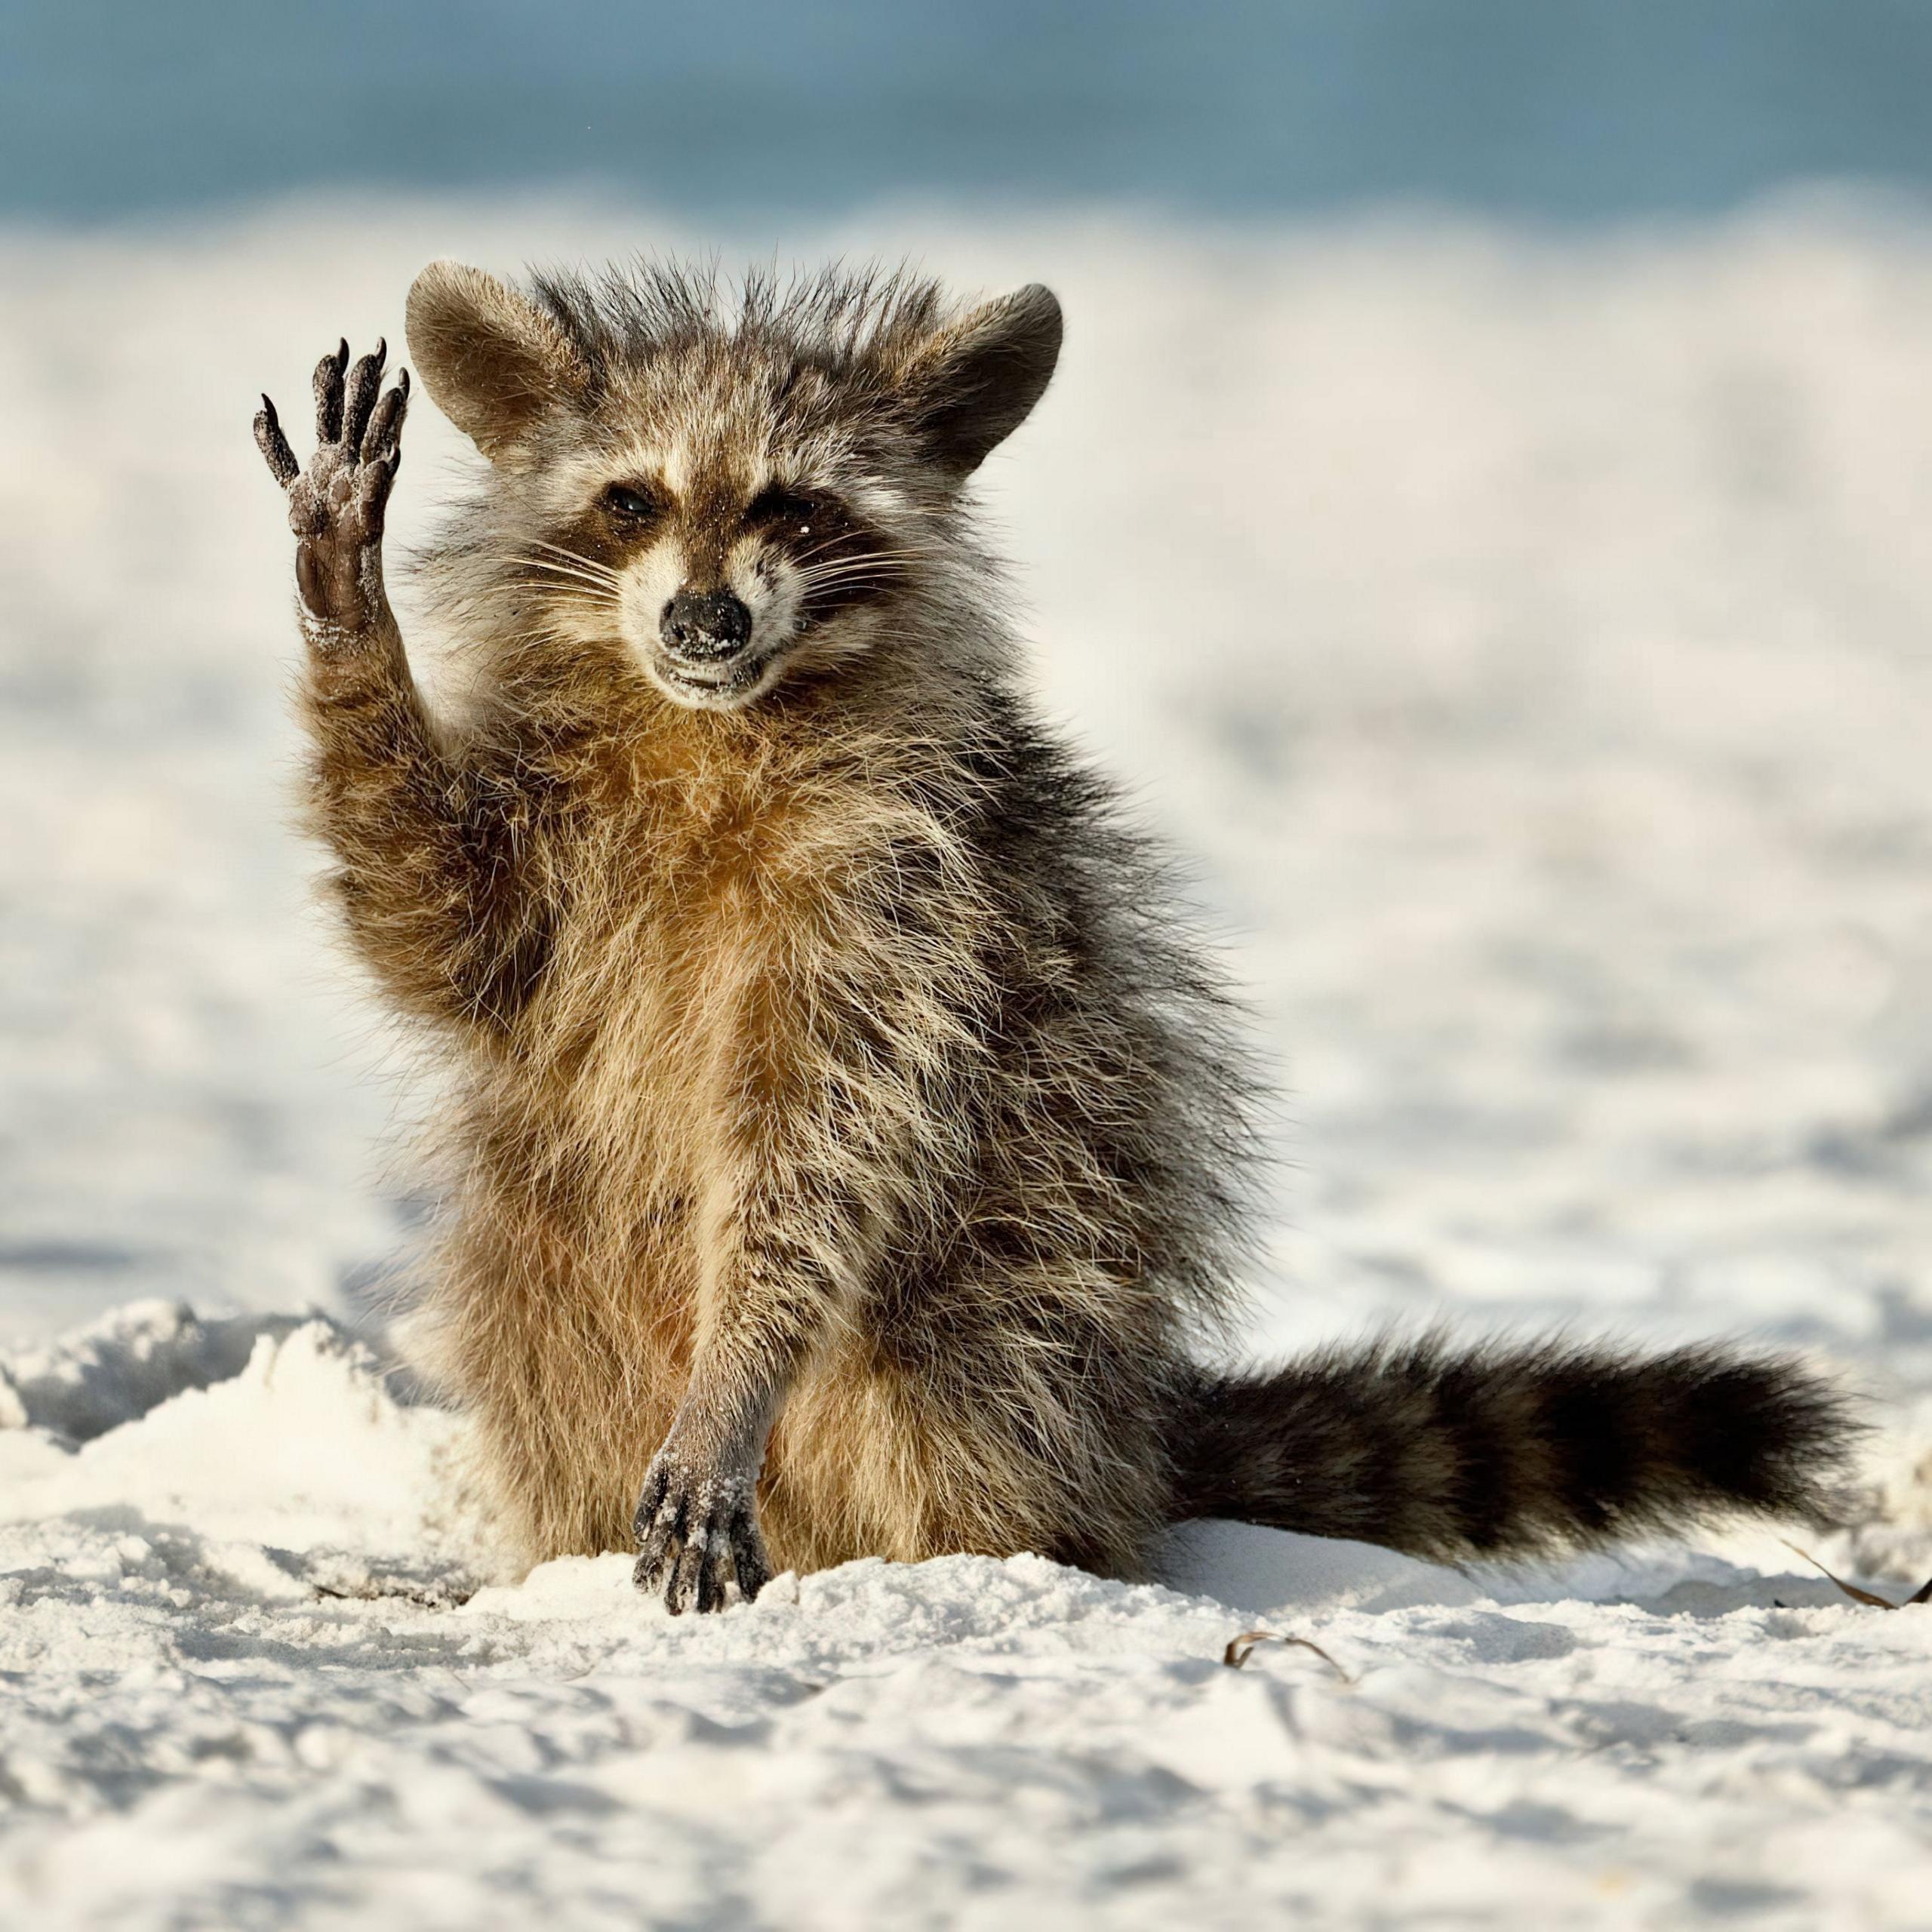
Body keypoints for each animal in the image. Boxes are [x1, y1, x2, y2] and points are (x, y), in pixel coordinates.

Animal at [249, 260, 1847, 1615]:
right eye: (632, 503)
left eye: (799, 511)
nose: (705, 620)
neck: (713, 724)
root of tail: (1129, 1435)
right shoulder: (556, 841)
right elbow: (433, 924)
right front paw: (346, 609)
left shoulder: (907, 890)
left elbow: (815, 1146)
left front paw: (738, 1371)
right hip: (545, 1271)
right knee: (539, 1343)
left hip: (1024, 1274)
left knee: (965, 1359)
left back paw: (985, 1550)